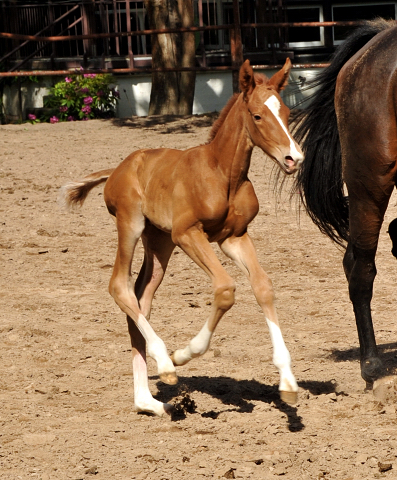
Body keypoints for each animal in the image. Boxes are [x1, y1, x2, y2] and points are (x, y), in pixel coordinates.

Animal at [61, 58, 304, 414]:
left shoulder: (235, 237)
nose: (293, 158)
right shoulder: (188, 233)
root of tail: (117, 169)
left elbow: (263, 287)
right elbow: (225, 289)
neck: (223, 174)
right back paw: (164, 364)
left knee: (141, 297)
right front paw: (182, 354)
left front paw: (287, 381)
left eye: (285, 113)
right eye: (258, 115)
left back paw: (148, 401)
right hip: (132, 225)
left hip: (159, 242)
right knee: (120, 286)